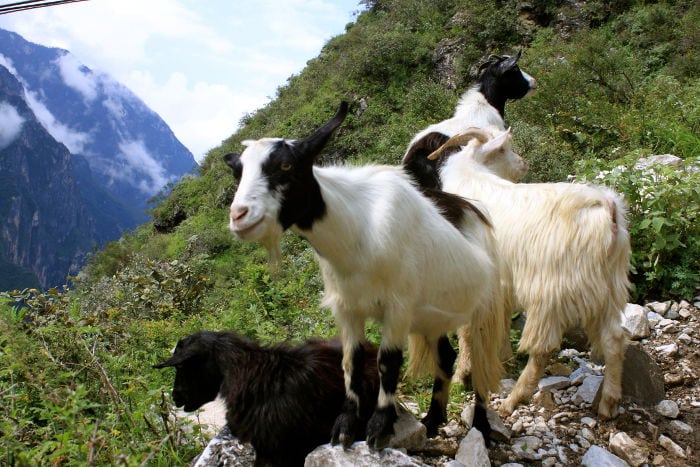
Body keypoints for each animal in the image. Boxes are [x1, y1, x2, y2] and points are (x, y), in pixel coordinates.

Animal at [424, 128, 632, 420]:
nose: (524, 163)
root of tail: (606, 208)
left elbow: (466, 331)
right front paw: (502, 356)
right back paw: (609, 403)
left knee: (544, 349)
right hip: (609, 286)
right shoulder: (501, 285)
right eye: (503, 150)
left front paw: (460, 376)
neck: (476, 177)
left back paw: (512, 400)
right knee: (614, 339)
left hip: (552, 291)